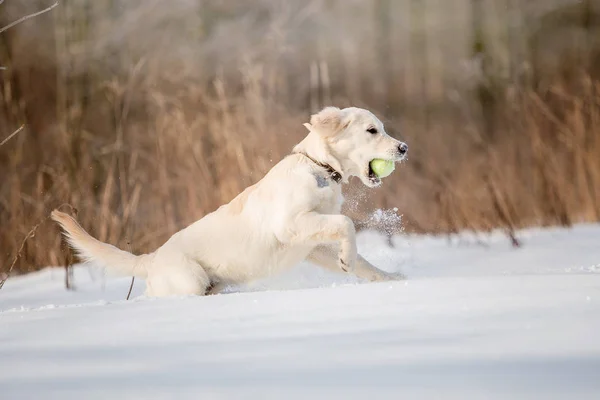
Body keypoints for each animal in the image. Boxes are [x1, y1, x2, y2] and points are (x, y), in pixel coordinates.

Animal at [52, 107, 408, 296]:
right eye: (372, 130)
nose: (404, 147)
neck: (319, 168)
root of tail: (151, 259)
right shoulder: (289, 224)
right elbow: (346, 223)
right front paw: (349, 257)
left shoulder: (313, 245)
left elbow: (361, 259)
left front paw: (388, 278)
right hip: (190, 279)